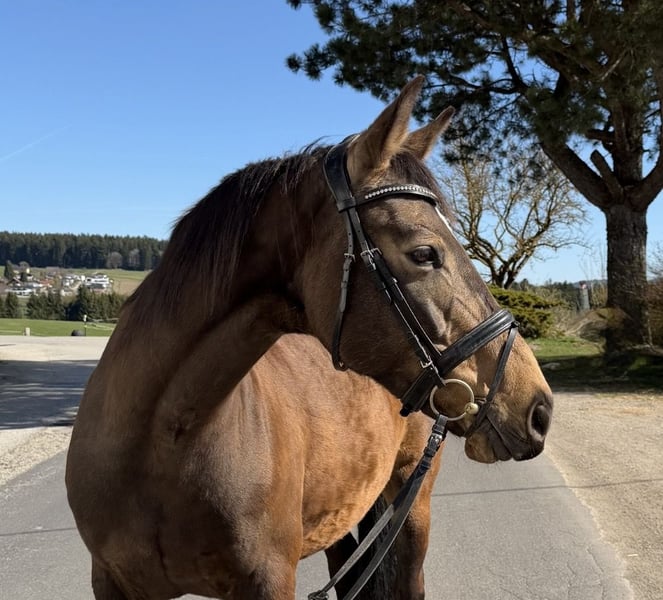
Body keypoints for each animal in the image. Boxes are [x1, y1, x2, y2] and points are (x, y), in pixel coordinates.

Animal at [65, 76, 553, 599]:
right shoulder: (111, 581)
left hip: (412, 503)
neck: (159, 444)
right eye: (424, 252)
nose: (539, 408)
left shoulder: (270, 579)